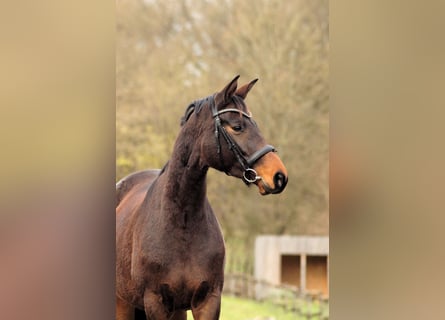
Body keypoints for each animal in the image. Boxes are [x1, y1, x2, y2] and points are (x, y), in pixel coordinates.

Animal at [115, 76, 288, 318]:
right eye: (237, 127)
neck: (181, 221)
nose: (279, 176)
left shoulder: (207, 301)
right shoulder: (155, 302)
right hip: (123, 303)